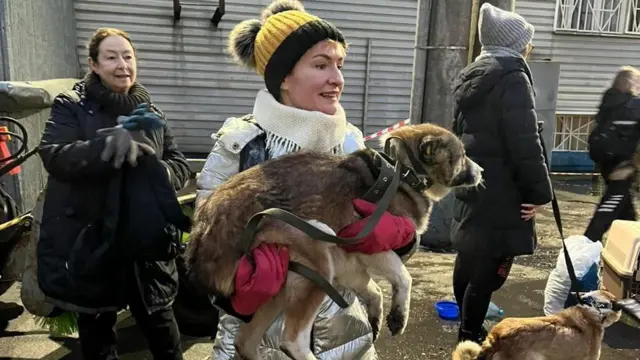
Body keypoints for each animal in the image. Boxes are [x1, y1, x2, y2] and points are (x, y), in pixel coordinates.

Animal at [182, 124, 482, 360]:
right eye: (463, 156)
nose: (481, 171)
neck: (404, 171)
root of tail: (203, 230)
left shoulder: (350, 260)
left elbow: (375, 290)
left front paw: (377, 318)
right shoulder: (368, 244)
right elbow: (404, 278)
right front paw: (399, 316)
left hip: (282, 283)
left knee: (245, 342)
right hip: (316, 258)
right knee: (291, 340)